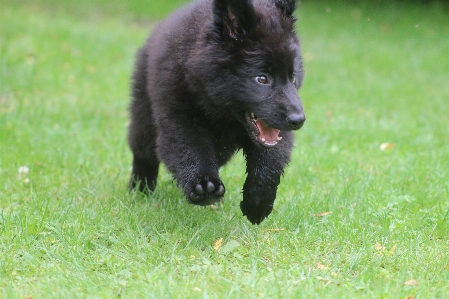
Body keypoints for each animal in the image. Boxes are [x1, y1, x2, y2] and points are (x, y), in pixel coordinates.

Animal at [128, 0, 306, 225]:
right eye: (262, 78)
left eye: (293, 76)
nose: (298, 120)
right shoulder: (179, 120)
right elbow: (190, 150)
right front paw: (204, 186)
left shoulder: (276, 132)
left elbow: (270, 164)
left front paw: (257, 202)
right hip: (143, 112)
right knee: (143, 152)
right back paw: (140, 190)